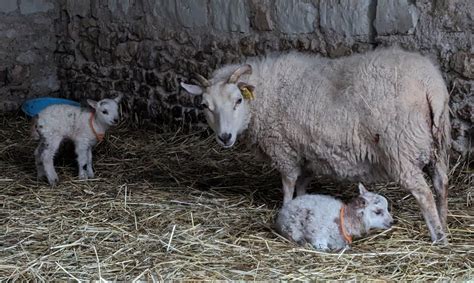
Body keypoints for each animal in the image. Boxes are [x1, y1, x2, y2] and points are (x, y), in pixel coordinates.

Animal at [181, 47, 452, 243]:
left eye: (238, 100)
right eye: (205, 105)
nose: (225, 137)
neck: (262, 99)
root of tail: (431, 85)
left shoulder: (284, 149)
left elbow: (289, 185)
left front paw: (286, 210)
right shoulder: (308, 152)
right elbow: (302, 186)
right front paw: (303, 204)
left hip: (400, 148)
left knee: (424, 193)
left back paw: (438, 236)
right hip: (438, 145)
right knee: (440, 185)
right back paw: (445, 222)